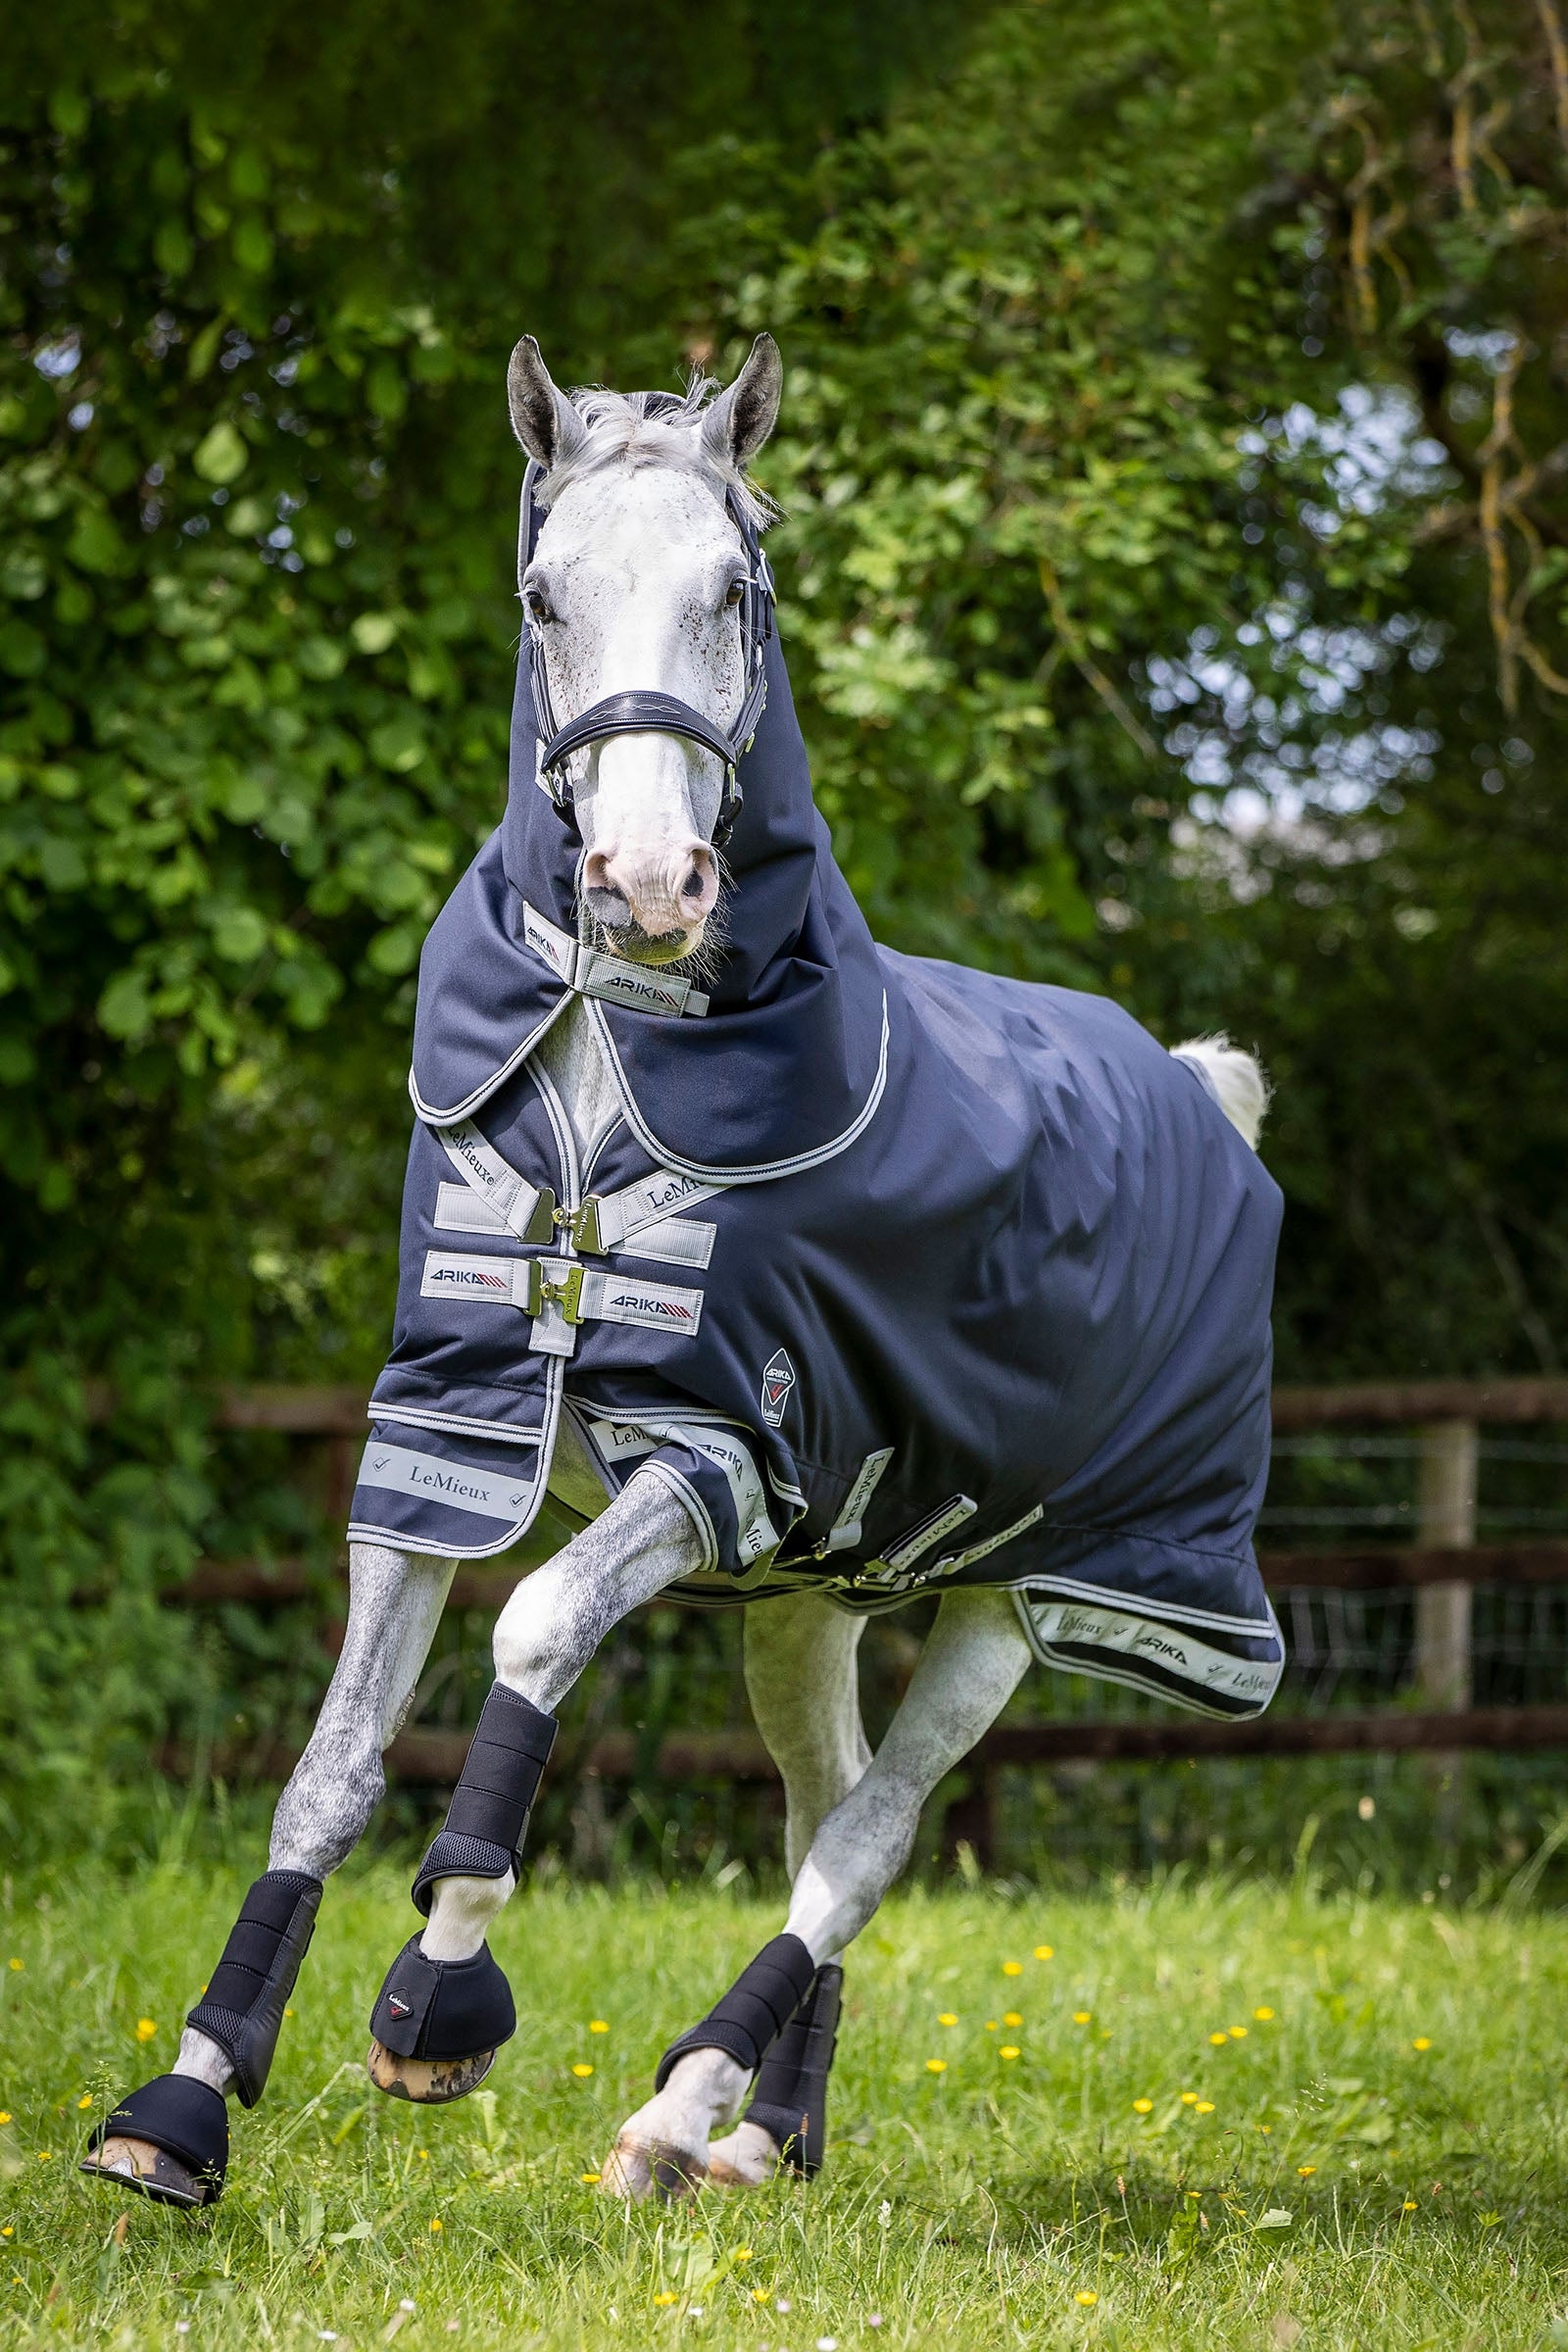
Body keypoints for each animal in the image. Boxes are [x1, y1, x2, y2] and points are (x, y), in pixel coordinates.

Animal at [84, 332, 1283, 2209]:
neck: (615, 1067)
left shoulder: (713, 1455)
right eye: (542, 594)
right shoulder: (444, 1441)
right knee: (818, 1808)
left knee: (865, 1838)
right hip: (809, 1599)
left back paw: (674, 2115)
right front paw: (184, 2104)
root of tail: (1197, 1087)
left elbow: (536, 1632)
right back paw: (763, 2138)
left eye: (738, 584)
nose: (650, 882)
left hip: (1034, 1594)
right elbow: (329, 1769)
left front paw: (436, 2000)